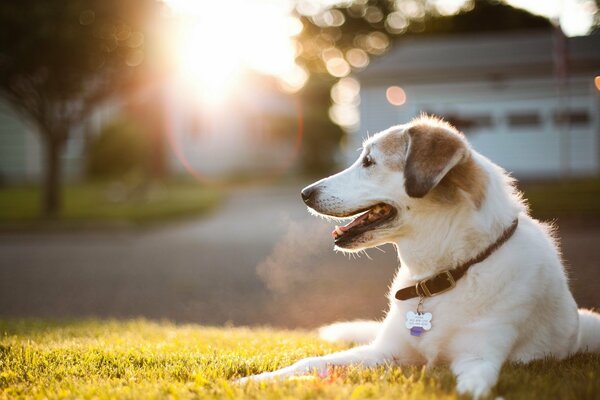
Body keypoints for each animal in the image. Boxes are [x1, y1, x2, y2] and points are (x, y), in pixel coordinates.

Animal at [239, 115, 600, 396]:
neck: (441, 276)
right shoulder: (385, 352)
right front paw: (258, 380)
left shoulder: (478, 357)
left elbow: (472, 387)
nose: (304, 193)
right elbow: (311, 362)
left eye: (369, 162)